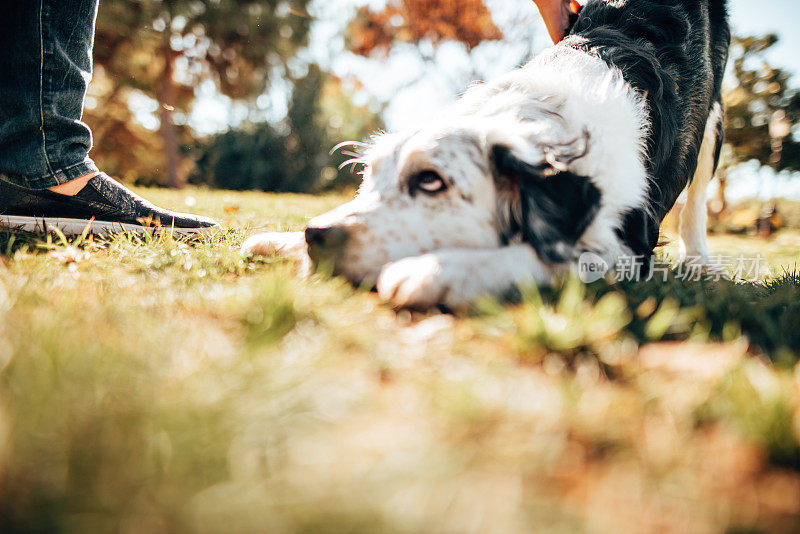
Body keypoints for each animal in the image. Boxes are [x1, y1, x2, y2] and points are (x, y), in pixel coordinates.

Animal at [244, 0, 732, 310]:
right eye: (368, 179)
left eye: (430, 181)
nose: (317, 235)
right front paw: (281, 240)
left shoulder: (630, 242)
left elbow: (554, 256)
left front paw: (442, 271)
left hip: (713, 121)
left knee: (697, 202)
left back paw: (700, 262)